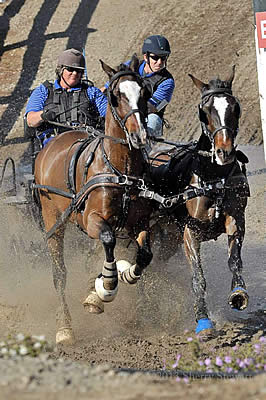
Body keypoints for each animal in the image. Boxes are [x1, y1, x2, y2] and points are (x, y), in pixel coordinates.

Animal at [34, 54, 153, 346]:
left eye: (145, 92)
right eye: (115, 96)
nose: (139, 136)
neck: (121, 170)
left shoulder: (139, 222)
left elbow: (144, 254)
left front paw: (122, 274)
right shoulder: (91, 221)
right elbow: (108, 240)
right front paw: (108, 285)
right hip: (53, 220)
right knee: (60, 274)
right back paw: (65, 327)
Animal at [149, 66, 250, 338]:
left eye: (235, 107)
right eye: (204, 111)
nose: (225, 152)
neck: (213, 178)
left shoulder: (236, 220)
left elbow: (234, 260)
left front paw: (239, 292)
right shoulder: (189, 232)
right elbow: (198, 277)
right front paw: (203, 320)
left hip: (169, 238)